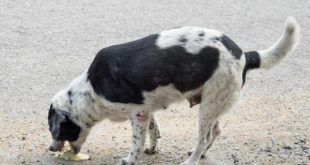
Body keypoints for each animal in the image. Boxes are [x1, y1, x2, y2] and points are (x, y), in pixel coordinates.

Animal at [47, 17, 300, 164]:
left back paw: (193, 160)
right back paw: (201, 154)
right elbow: (153, 130)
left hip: (208, 107)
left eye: (54, 131)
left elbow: (136, 142)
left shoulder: (137, 113)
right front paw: (152, 148)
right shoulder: (146, 110)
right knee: (215, 132)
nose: (50, 148)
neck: (91, 90)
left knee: (205, 137)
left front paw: (131, 159)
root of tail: (244, 55)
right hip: (214, 104)